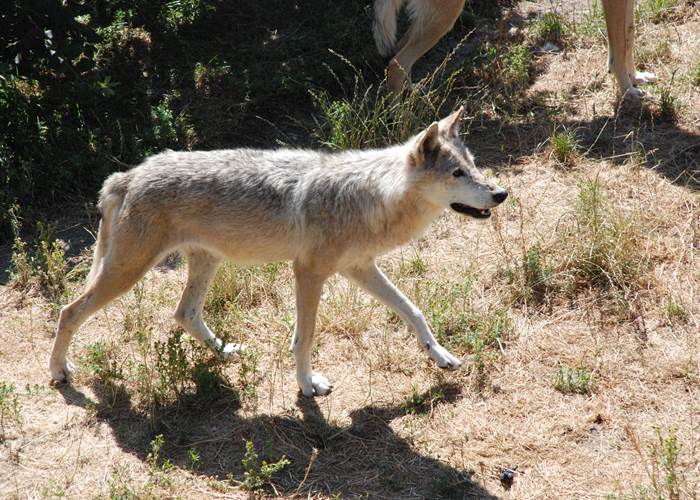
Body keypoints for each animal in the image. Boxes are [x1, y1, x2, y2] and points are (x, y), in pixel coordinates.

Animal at [49, 107, 508, 397]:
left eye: (473, 165)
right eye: (457, 174)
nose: (501, 193)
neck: (372, 196)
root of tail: (126, 175)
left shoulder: (359, 268)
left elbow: (413, 311)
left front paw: (441, 356)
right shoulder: (308, 272)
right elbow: (306, 336)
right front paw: (308, 385)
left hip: (205, 263)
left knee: (184, 314)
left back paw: (224, 351)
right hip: (128, 273)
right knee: (68, 311)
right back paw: (59, 373)